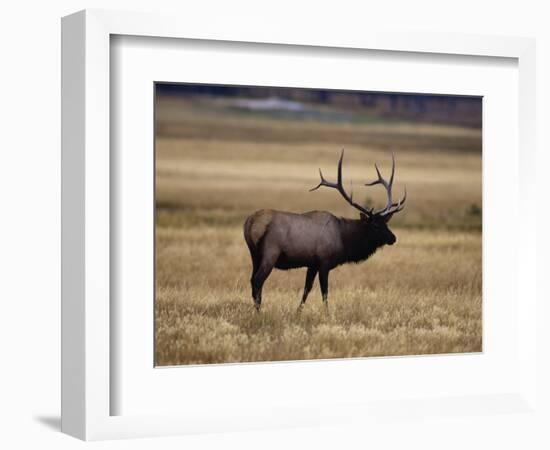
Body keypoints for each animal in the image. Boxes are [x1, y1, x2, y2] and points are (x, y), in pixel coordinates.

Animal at [244, 149, 408, 312]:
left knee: (252, 280)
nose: (393, 238)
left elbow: (307, 288)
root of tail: (250, 223)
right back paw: (259, 312)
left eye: (386, 223)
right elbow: (325, 291)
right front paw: (327, 313)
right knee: (258, 281)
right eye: (375, 226)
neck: (344, 240)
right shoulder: (324, 262)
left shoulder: (312, 264)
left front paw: (298, 312)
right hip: (270, 252)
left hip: (254, 255)